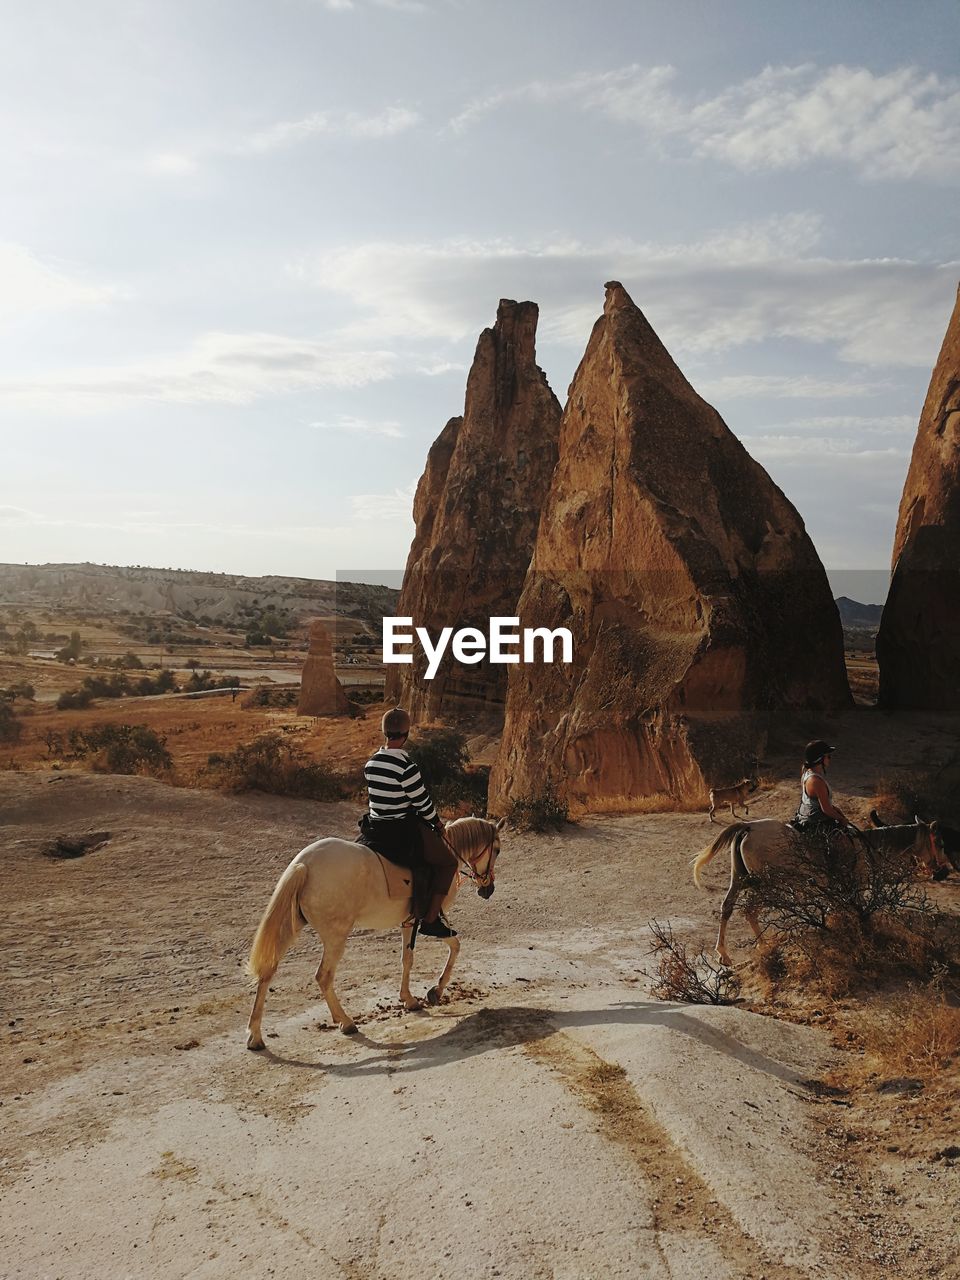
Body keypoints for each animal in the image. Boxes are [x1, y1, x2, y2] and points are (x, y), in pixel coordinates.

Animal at [245, 819, 504, 1049]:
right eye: (497, 850)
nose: (488, 889)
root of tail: (305, 864)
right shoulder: (430, 921)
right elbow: (455, 946)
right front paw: (435, 991)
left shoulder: (408, 923)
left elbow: (407, 959)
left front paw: (408, 999)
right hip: (336, 936)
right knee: (323, 976)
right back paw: (346, 1022)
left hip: (291, 928)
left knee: (268, 970)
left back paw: (255, 1036)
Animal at [696, 814, 952, 962]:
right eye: (940, 843)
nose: (944, 871)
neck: (867, 846)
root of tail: (748, 827)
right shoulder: (856, 888)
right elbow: (857, 915)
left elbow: (833, 912)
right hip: (767, 883)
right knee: (750, 910)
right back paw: (765, 946)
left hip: (738, 877)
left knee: (727, 907)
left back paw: (724, 953)